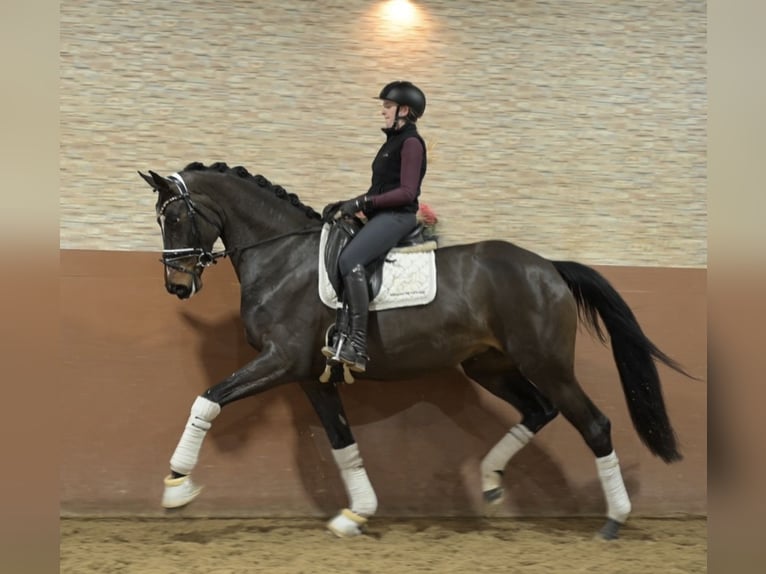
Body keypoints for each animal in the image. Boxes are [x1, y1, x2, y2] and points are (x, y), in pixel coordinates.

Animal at [139, 161, 692, 540]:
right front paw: (356, 513)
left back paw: (614, 519)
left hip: (547, 363)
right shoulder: (309, 374)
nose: (176, 286)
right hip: (489, 365)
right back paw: (490, 481)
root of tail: (548, 267)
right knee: (539, 409)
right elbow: (342, 441)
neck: (282, 256)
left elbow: (208, 398)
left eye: (177, 217)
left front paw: (177, 486)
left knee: (593, 424)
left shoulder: (280, 360)